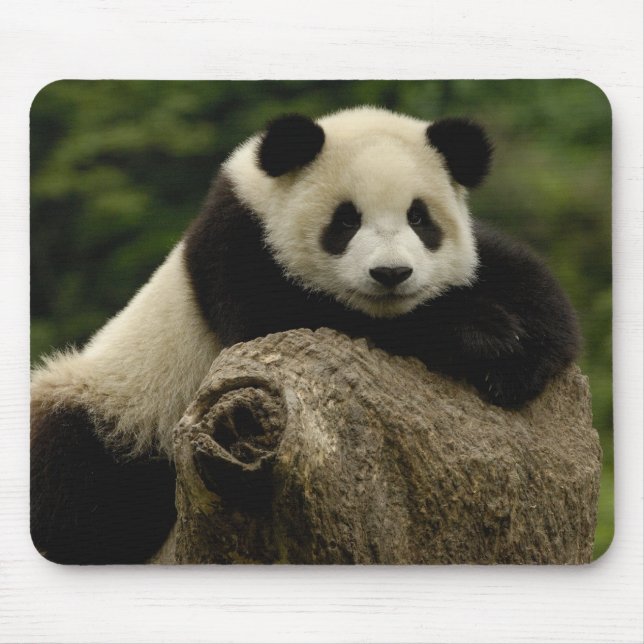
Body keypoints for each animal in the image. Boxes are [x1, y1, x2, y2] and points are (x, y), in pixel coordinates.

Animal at [30, 106, 580, 564]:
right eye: (346, 220)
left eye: (419, 217)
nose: (391, 274)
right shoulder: (239, 250)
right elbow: (290, 320)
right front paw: (484, 335)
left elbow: (521, 276)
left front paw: (522, 351)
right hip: (122, 406)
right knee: (81, 479)